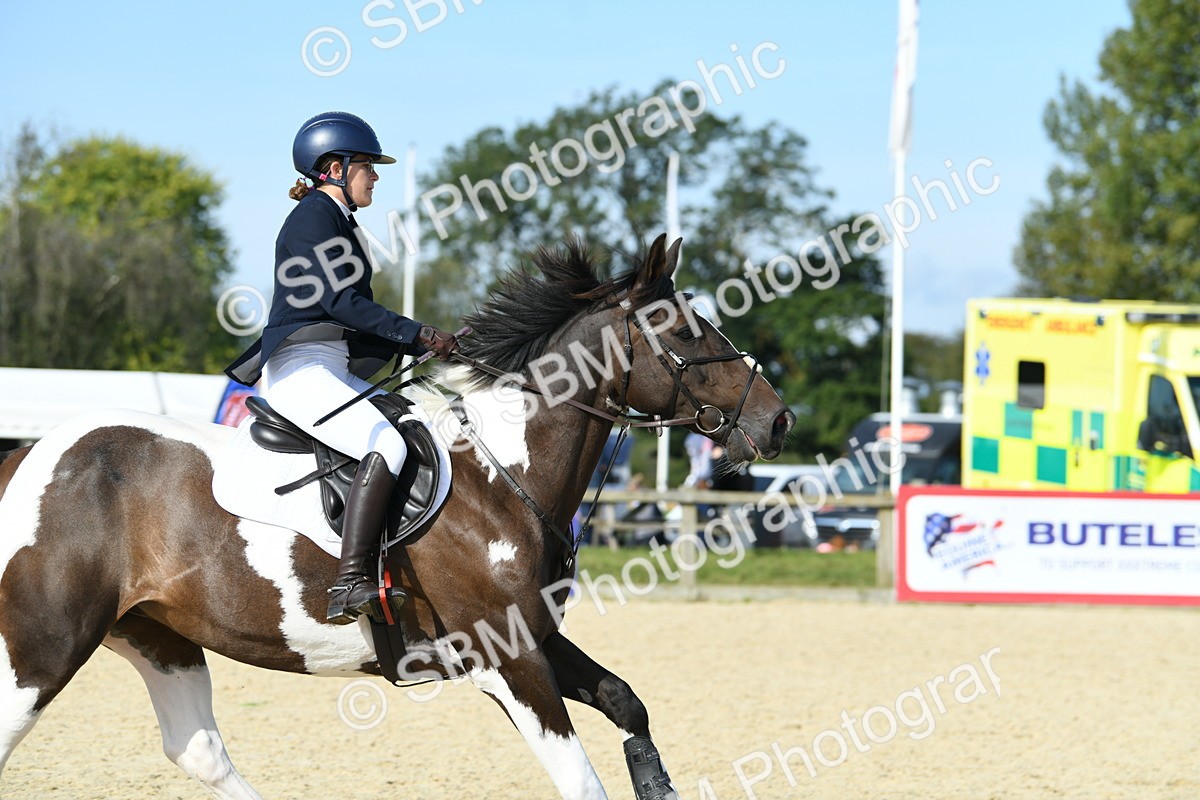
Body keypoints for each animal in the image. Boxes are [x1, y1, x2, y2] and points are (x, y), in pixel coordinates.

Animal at [0, 233, 794, 799]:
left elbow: (628, 704)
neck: (503, 474)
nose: (777, 419)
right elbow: (577, 779)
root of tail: (29, 457)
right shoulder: (505, 658)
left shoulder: (533, 636)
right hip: (44, 647)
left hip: (155, 634)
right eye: (684, 333)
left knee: (199, 750)